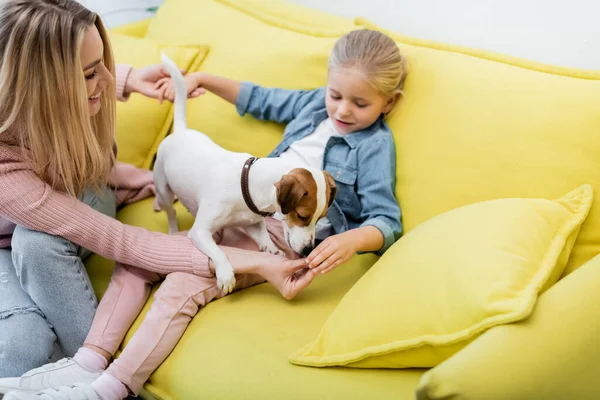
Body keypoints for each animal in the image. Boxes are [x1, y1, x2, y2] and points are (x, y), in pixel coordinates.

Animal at [155, 54, 336, 294]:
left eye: (321, 217)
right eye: (302, 216)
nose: (308, 251)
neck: (246, 184)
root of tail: (181, 130)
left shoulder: (252, 224)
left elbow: (264, 237)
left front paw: (271, 249)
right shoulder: (200, 232)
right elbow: (218, 251)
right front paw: (225, 273)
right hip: (163, 188)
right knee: (170, 211)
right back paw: (172, 225)